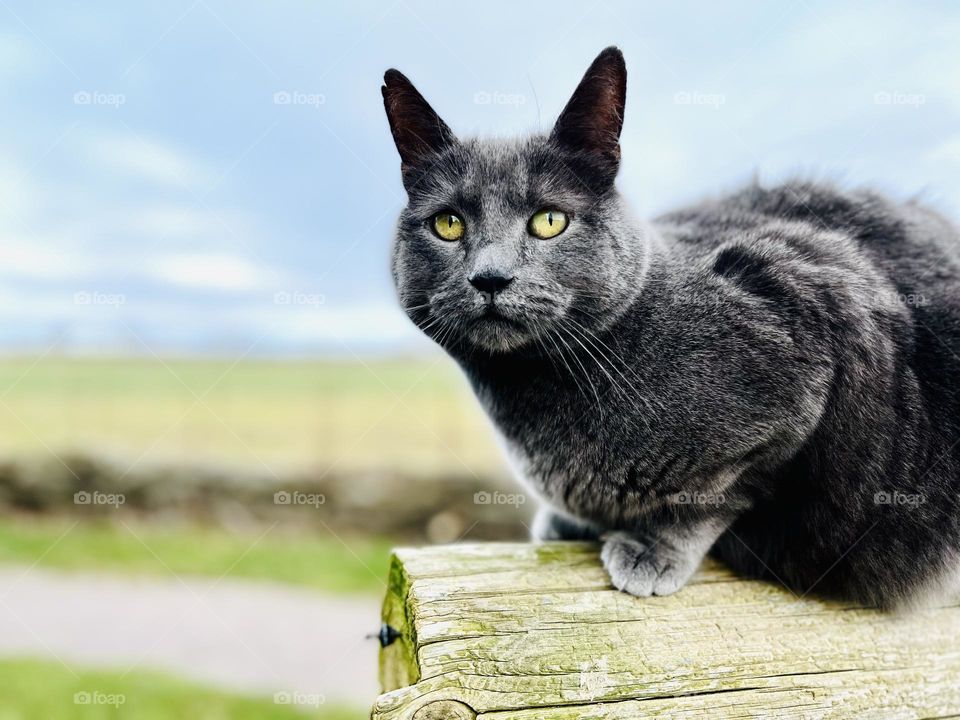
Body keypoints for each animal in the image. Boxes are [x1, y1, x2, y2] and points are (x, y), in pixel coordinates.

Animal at [378, 46, 960, 608]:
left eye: (549, 221)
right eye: (448, 224)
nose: (490, 277)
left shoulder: (808, 318)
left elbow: (718, 494)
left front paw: (652, 550)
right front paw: (570, 523)